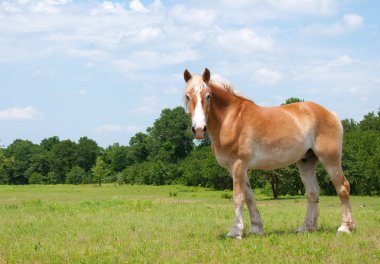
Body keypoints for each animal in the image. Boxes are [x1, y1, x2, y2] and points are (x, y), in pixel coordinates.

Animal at [183, 67, 354, 239]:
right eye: (188, 96)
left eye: (208, 95)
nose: (199, 129)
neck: (230, 120)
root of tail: (331, 114)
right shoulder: (235, 169)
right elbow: (249, 197)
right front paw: (256, 228)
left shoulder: (238, 165)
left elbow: (238, 197)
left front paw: (236, 232)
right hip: (306, 162)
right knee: (313, 193)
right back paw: (306, 227)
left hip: (330, 160)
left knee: (343, 188)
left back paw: (345, 227)